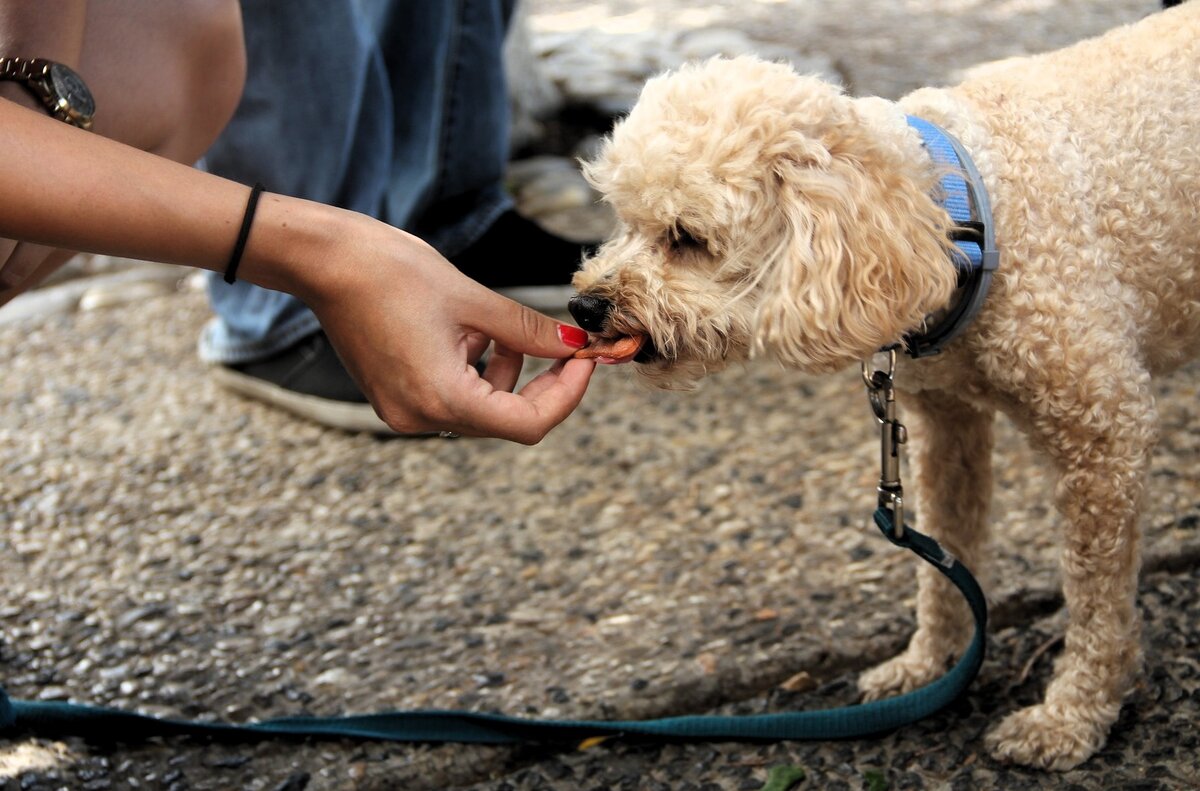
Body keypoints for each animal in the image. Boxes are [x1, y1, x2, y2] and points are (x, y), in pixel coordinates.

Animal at [564, 4, 1200, 772]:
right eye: (622, 220)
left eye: (686, 237)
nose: (584, 307)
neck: (965, 218)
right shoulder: (946, 425)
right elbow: (945, 558)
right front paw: (929, 665)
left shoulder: (1101, 434)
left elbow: (1097, 600)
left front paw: (1071, 716)